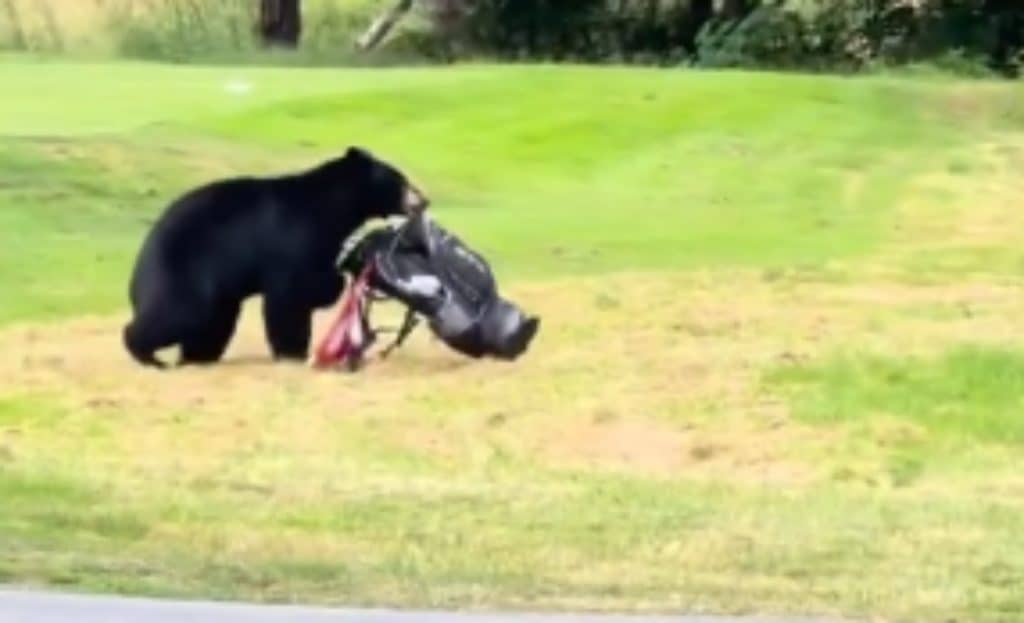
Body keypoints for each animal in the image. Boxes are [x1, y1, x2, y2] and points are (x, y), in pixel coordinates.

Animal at [123, 146, 429, 368]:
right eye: (401, 180)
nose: (424, 200)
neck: (332, 208)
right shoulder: (295, 236)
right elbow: (292, 295)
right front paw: (292, 353)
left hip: (217, 293)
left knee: (212, 321)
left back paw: (198, 356)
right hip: (186, 270)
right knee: (181, 311)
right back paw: (147, 354)